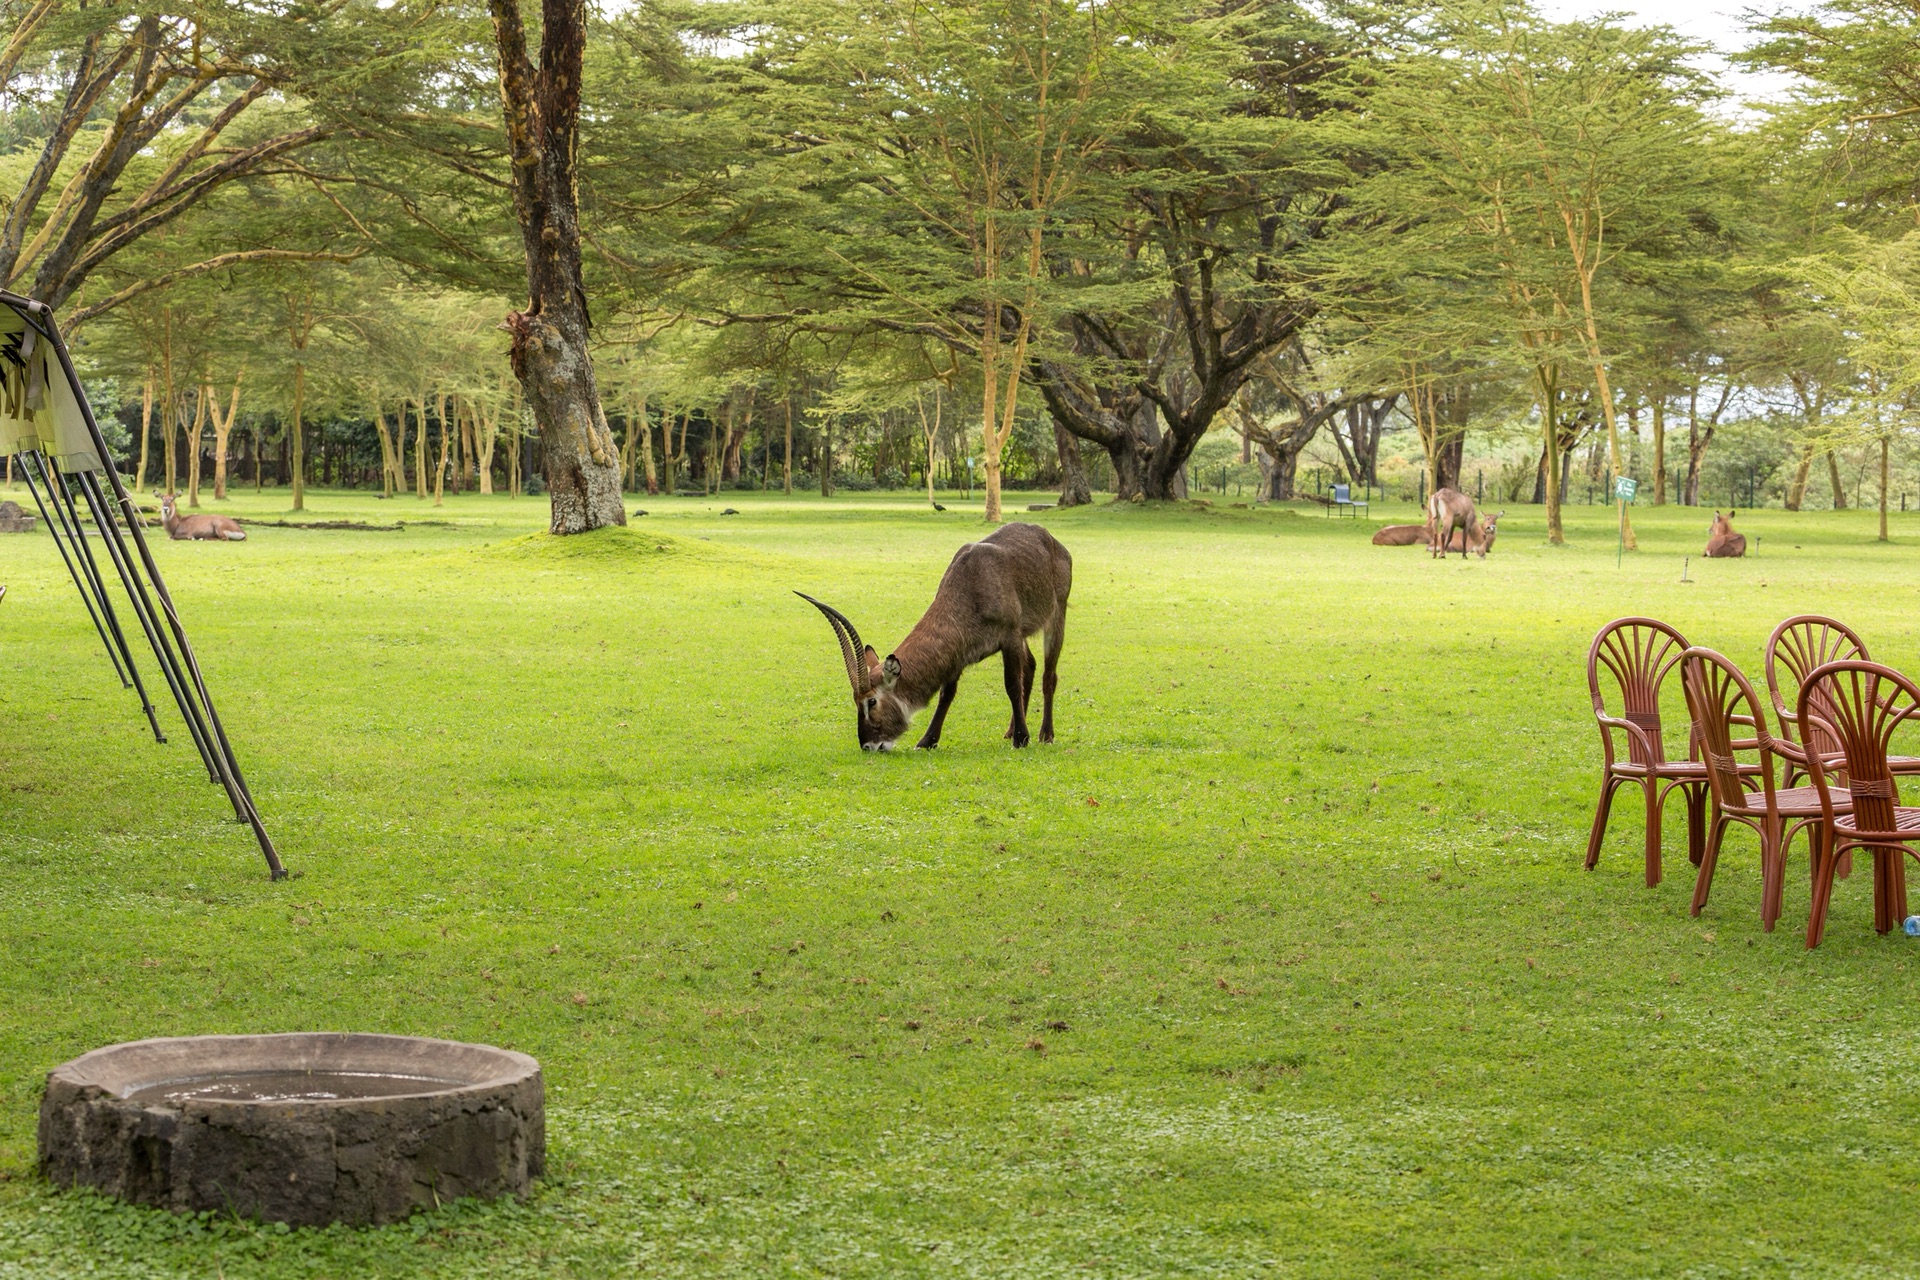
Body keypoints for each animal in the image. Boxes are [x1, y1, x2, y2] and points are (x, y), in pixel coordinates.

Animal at [791, 521, 1075, 752]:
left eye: (871, 701)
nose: (868, 745)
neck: (971, 586)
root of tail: (1050, 539)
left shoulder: (1010, 638)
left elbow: (1011, 685)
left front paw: (1022, 738)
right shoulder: (958, 653)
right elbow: (946, 694)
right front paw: (927, 741)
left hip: (1055, 617)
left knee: (1048, 675)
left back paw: (1045, 734)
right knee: (1031, 666)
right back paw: (1010, 730)